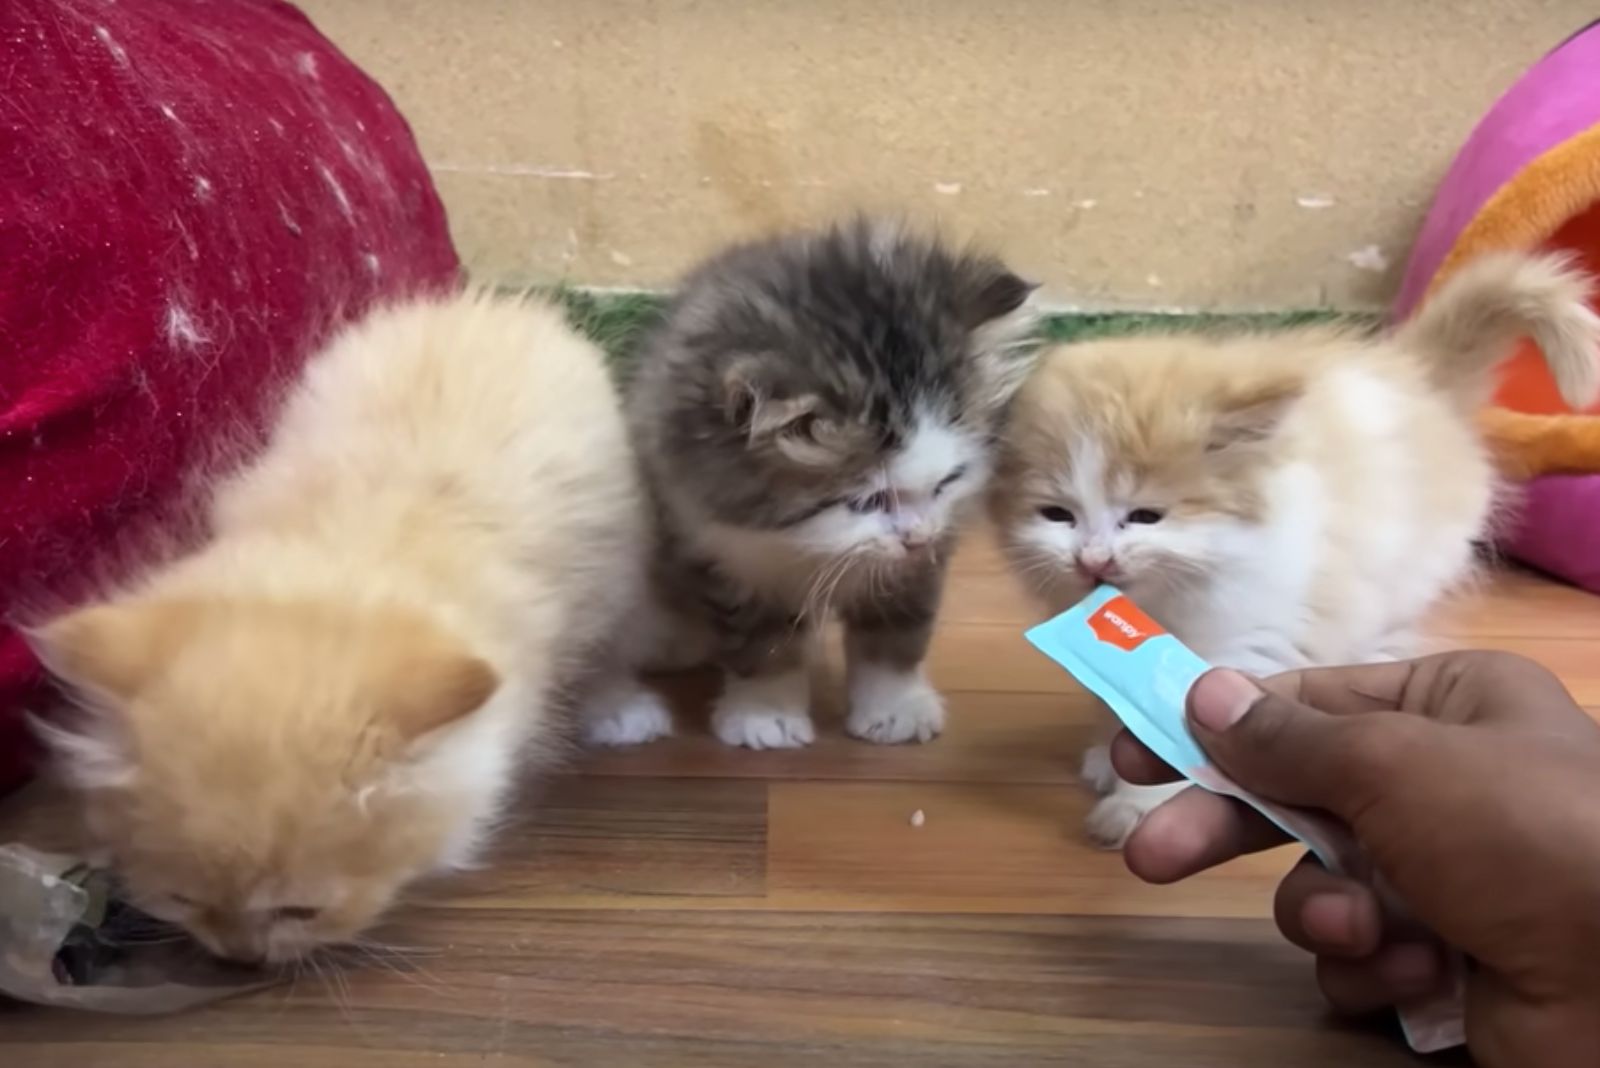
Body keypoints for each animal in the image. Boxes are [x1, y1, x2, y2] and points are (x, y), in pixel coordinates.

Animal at [588, 219, 1036, 751]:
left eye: (949, 481)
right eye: (866, 500)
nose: (917, 537)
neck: (802, 546)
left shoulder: (921, 562)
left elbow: (897, 631)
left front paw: (893, 707)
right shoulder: (717, 548)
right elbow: (761, 641)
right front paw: (765, 714)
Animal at [985, 254, 1600, 844]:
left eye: (1144, 517)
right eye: (1057, 515)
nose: (1093, 559)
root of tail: (1418, 372)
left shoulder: (1253, 637)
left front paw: (1135, 804)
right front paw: (1105, 753)